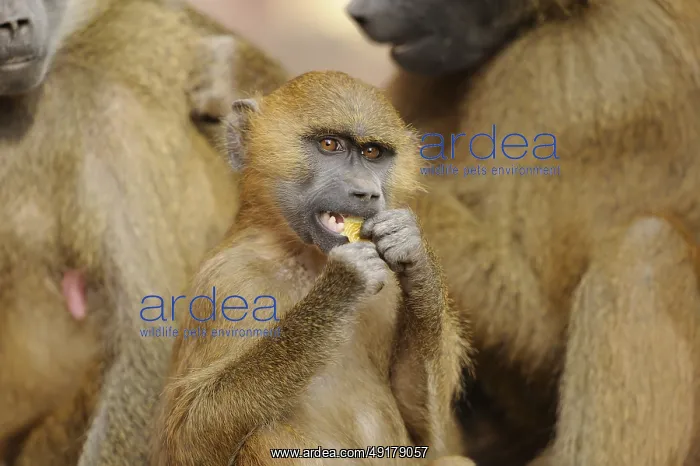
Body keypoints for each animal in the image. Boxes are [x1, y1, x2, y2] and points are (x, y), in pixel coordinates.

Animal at [151, 70, 476, 466]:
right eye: (330, 144)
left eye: (372, 153)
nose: (367, 193)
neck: (308, 261)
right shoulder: (227, 281)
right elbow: (186, 437)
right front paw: (344, 284)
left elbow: (427, 435)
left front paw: (414, 252)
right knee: (264, 436)